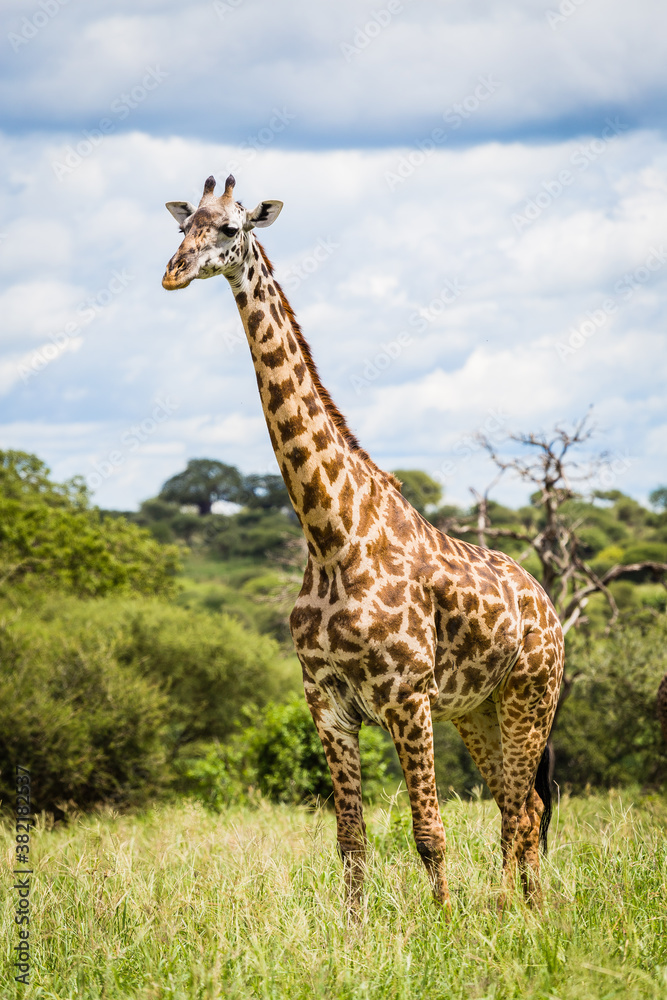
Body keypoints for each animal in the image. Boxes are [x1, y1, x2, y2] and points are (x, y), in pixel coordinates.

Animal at [162, 174, 564, 910]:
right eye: (183, 225)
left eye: (230, 228)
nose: (173, 273)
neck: (328, 534)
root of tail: (548, 604)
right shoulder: (326, 703)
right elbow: (350, 841)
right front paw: (354, 931)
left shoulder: (406, 697)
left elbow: (429, 832)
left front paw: (443, 924)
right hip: (477, 709)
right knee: (512, 807)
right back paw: (511, 909)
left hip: (531, 694)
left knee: (526, 811)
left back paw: (527, 915)